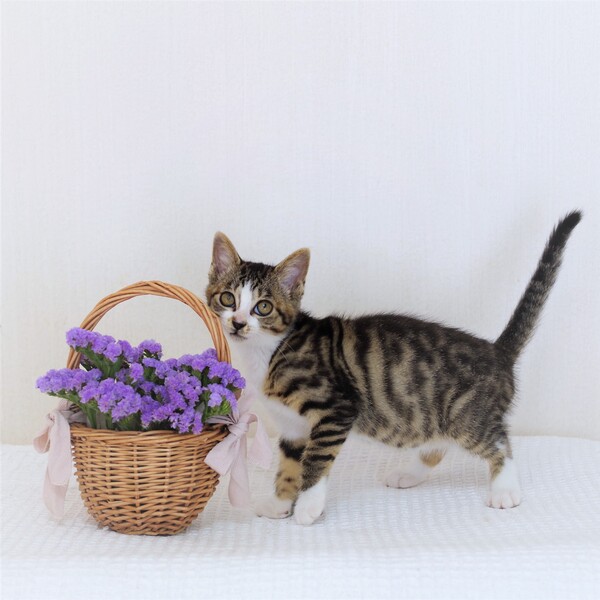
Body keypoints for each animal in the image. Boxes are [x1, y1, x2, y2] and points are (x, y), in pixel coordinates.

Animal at [205, 212, 581, 525]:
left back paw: (505, 489)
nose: (238, 323)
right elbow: (288, 466)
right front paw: (281, 503)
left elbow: (315, 460)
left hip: (466, 417)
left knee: (499, 441)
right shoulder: (293, 427)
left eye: (263, 307)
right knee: (438, 443)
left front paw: (308, 508)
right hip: (435, 415)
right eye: (227, 299)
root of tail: (496, 350)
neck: (269, 350)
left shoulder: (336, 409)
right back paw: (410, 474)